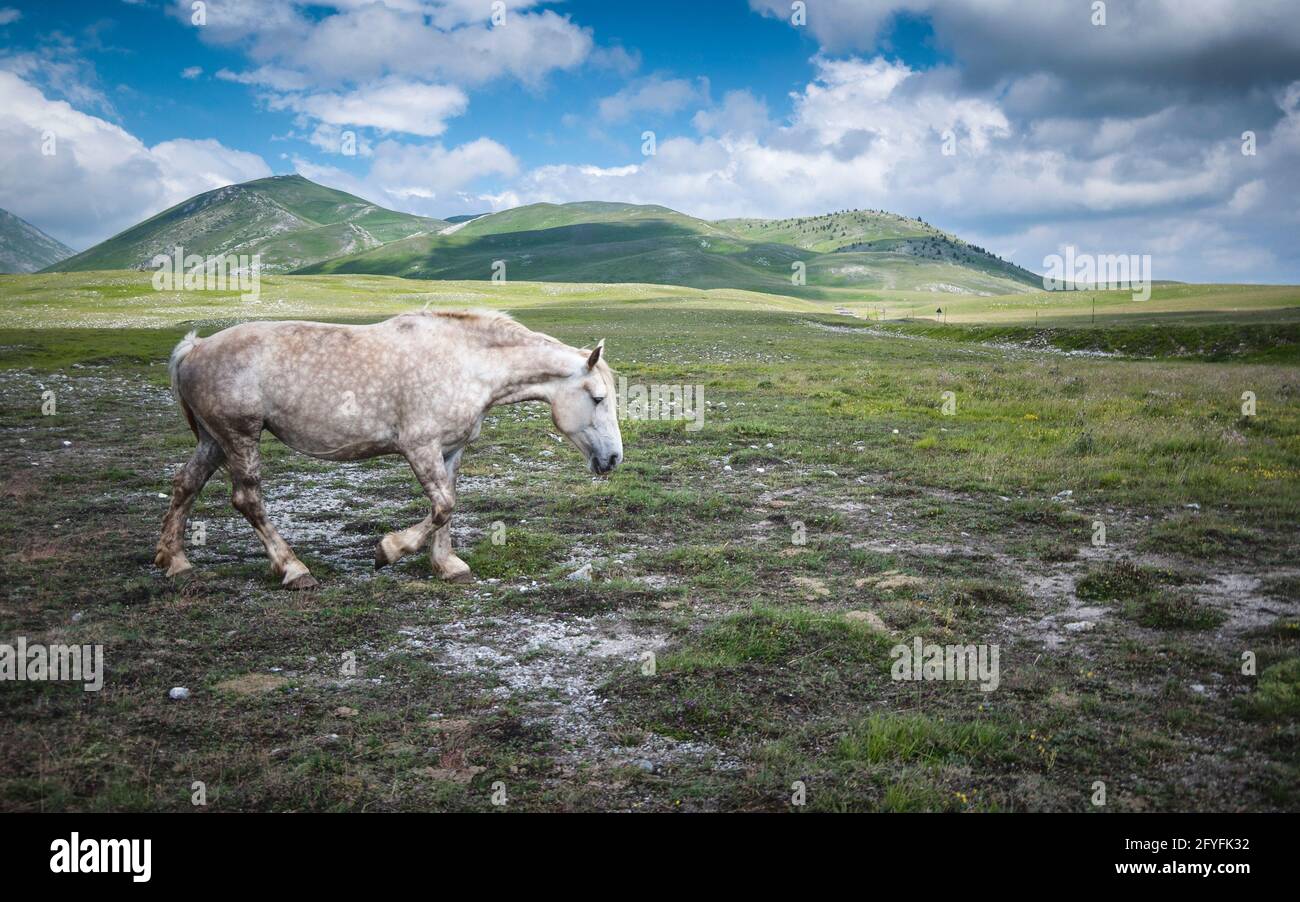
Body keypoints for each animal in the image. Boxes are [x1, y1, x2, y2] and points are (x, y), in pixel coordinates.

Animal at [154, 310, 621, 592]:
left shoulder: (450, 450)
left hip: (214, 440)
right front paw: (388, 550)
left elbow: (448, 506)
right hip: (240, 437)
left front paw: (447, 565)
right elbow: (442, 506)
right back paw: (293, 569)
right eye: (598, 398)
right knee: (247, 499)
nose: (614, 459)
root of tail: (194, 348)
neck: (468, 363)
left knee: (185, 485)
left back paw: (175, 560)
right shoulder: (419, 447)